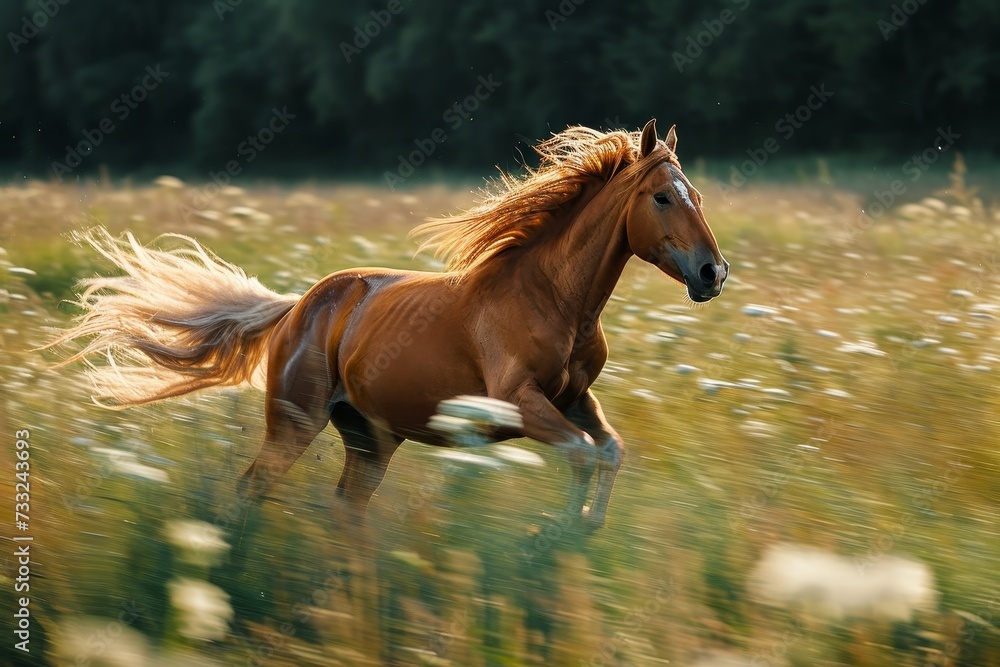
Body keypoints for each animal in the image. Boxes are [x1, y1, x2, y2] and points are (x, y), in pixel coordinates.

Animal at [48, 119, 728, 530]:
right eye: (663, 197)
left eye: (696, 195)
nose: (712, 272)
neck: (552, 300)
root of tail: (299, 308)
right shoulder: (518, 402)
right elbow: (584, 454)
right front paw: (558, 534)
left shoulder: (575, 397)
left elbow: (610, 451)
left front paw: (585, 529)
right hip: (296, 423)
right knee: (254, 487)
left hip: (369, 440)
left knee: (345, 508)